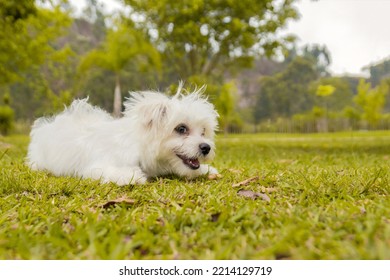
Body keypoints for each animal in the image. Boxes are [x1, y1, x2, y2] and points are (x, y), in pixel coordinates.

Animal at [27, 85, 219, 186]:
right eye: (181, 129)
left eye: (203, 131)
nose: (206, 147)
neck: (140, 148)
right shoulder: (95, 167)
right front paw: (130, 176)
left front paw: (205, 169)